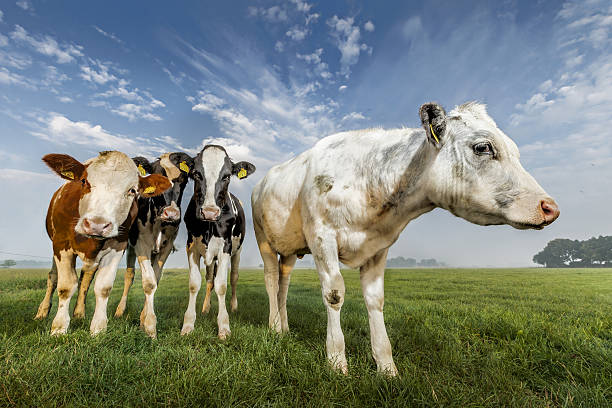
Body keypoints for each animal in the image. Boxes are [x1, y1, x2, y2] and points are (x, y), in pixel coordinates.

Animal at [34, 151, 171, 336]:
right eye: (84, 181)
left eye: (132, 190)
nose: (97, 225)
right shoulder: (61, 244)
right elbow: (66, 286)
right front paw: (59, 328)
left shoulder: (117, 247)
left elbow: (103, 287)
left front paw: (98, 328)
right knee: (53, 277)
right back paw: (42, 312)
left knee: (86, 278)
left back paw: (79, 313)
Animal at [178, 145, 255, 340]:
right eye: (196, 174)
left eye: (227, 176)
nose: (209, 212)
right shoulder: (191, 247)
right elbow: (195, 283)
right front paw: (188, 323)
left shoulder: (225, 248)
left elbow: (221, 285)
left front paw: (224, 326)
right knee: (209, 280)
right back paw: (206, 308)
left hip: (237, 251)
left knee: (233, 278)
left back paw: (234, 306)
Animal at [250, 103, 560, 376]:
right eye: (483, 147)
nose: (550, 207)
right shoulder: (321, 237)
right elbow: (334, 294)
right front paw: (337, 362)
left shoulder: (379, 246)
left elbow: (375, 300)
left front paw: (386, 367)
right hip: (263, 238)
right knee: (270, 278)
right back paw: (274, 328)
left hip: (289, 248)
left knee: (284, 282)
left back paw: (285, 327)